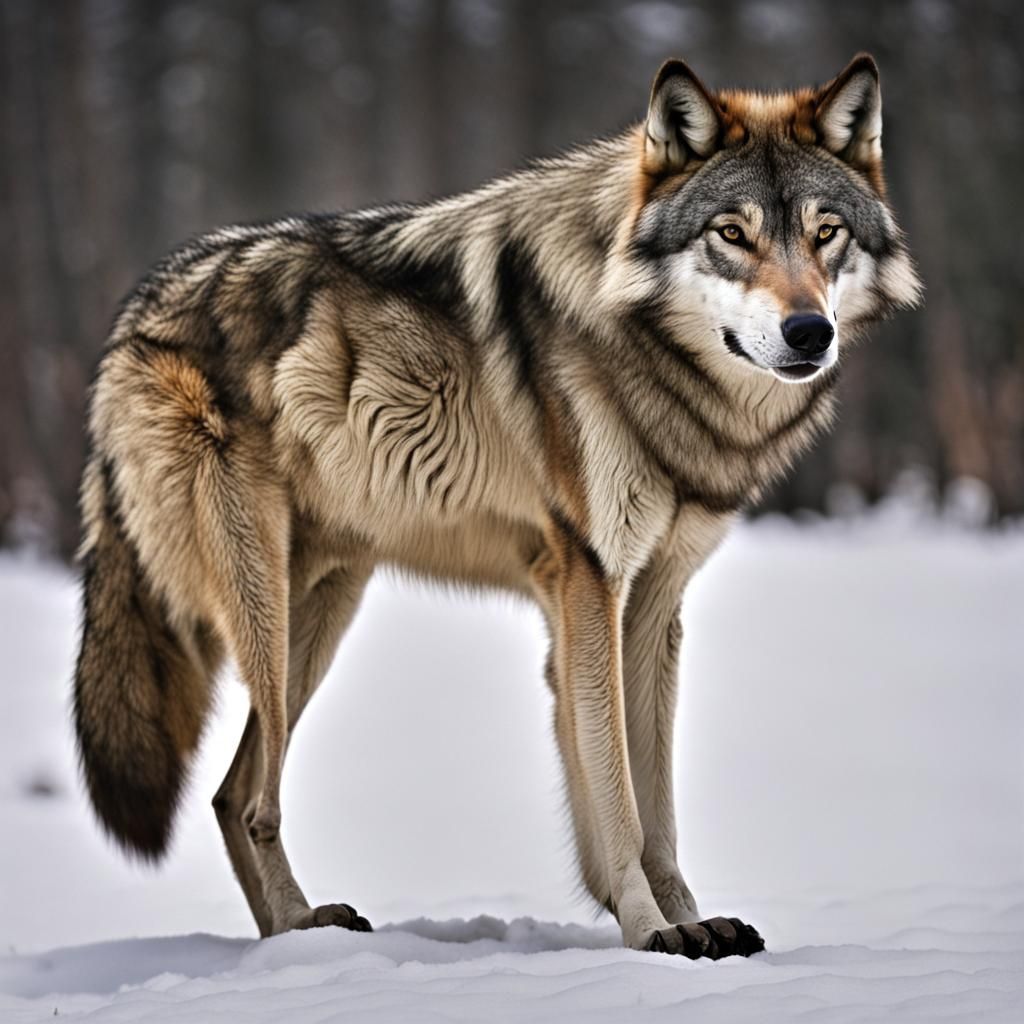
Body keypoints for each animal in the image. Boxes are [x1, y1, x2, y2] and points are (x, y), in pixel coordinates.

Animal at [73, 54, 920, 959]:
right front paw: (653, 932)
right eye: (732, 234)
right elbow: (620, 802)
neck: (651, 361)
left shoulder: (653, 604)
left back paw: (295, 938)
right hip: (265, 613)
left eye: (826, 233)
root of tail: (130, 318)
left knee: (231, 795)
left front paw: (690, 921)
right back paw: (304, 938)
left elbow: (657, 811)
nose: (809, 332)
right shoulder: (589, 587)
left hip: (322, 613)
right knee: (257, 798)